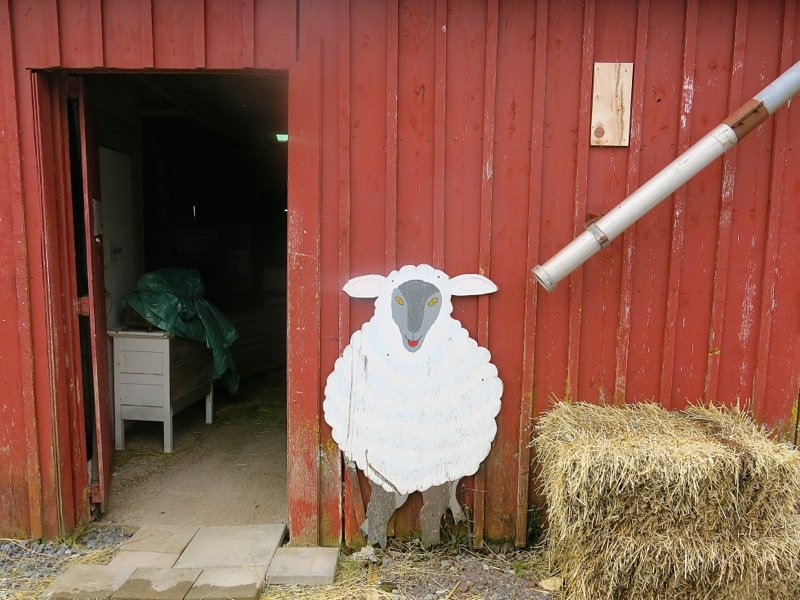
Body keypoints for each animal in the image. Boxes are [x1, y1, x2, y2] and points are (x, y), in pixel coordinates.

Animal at [323, 264, 502, 547]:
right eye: (397, 299)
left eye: (434, 300)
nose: (413, 335)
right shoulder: (377, 458)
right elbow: (380, 505)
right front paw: (375, 541)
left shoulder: (439, 463)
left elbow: (430, 509)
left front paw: (430, 543)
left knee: (439, 499)